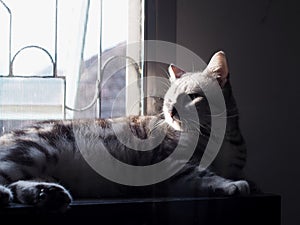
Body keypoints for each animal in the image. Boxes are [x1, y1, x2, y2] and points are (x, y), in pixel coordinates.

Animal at [0, 50, 248, 211]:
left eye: (192, 96)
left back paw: (47, 193)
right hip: (32, 151)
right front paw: (232, 185)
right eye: (169, 100)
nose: (171, 112)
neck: (219, 137)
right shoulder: (173, 166)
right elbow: (205, 175)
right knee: (7, 179)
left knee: (18, 184)